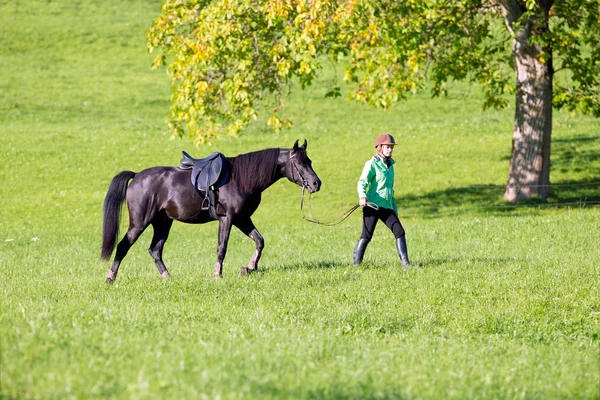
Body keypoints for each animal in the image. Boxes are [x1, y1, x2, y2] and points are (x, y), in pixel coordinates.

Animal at [101, 140, 322, 282]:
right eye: (299, 163)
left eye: (310, 161)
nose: (316, 184)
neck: (241, 178)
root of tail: (137, 176)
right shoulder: (228, 218)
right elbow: (222, 247)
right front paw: (218, 274)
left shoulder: (242, 219)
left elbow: (259, 241)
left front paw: (248, 268)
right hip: (139, 223)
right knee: (123, 246)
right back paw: (110, 278)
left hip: (163, 222)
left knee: (155, 250)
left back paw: (167, 278)